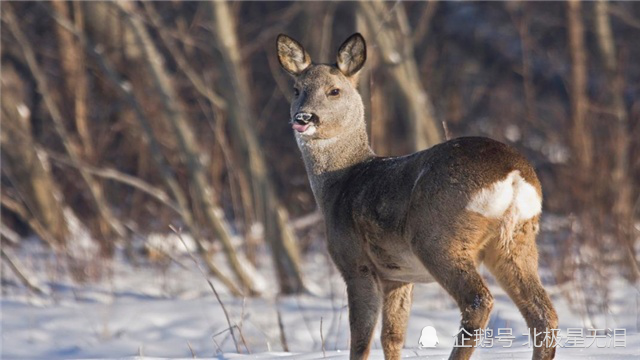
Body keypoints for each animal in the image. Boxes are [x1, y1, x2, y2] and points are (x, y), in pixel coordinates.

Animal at [278, 33, 556, 360]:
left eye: (334, 90)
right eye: (296, 89)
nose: (304, 117)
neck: (339, 183)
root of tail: (513, 175)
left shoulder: (355, 262)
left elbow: (360, 340)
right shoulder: (399, 276)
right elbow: (392, 336)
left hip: (439, 237)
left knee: (478, 300)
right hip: (517, 240)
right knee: (543, 313)